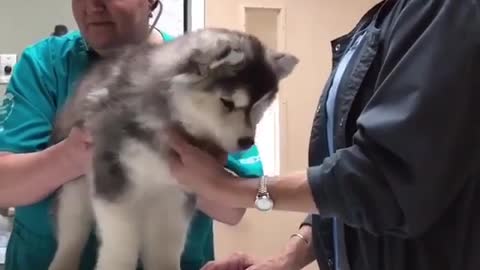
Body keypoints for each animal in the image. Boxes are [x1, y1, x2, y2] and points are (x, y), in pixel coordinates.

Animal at [47, 28, 298, 270]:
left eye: (260, 107)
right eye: (227, 102)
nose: (247, 142)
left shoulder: (177, 195)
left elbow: (166, 247)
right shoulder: (113, 177)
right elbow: (121, 245)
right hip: (75, 192)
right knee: (71, 236)